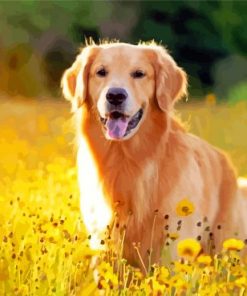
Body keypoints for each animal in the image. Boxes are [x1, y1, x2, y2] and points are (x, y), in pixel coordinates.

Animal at [61, 41, 247, 270]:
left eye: (139, 74)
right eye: (101, 72)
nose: (115, 95)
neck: (128, 160)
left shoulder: (173, 248)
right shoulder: (104, 244)